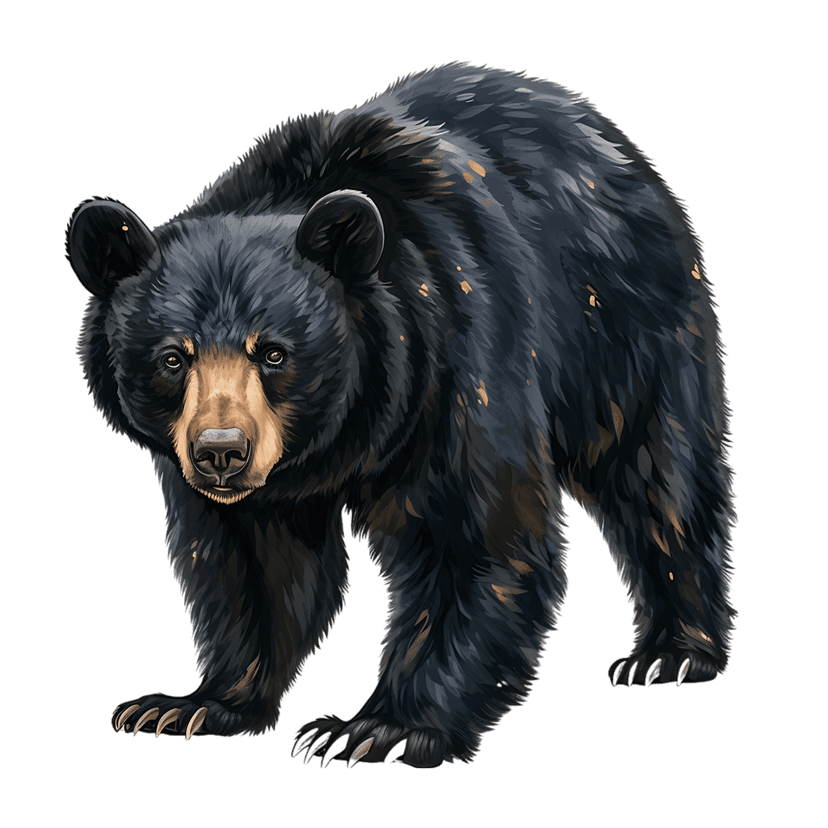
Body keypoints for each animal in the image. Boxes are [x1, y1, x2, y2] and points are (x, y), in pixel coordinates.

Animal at [65, 61, 736, 768]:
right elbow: (249, 562)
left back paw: (671, 652)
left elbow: (472, 535)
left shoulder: (453, 366)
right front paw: (191, 704)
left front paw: (376, 728)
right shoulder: (242, 492)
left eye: (273, 352)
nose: (221, 451)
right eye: (173, 358)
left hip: (622, 317)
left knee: (657, 468)